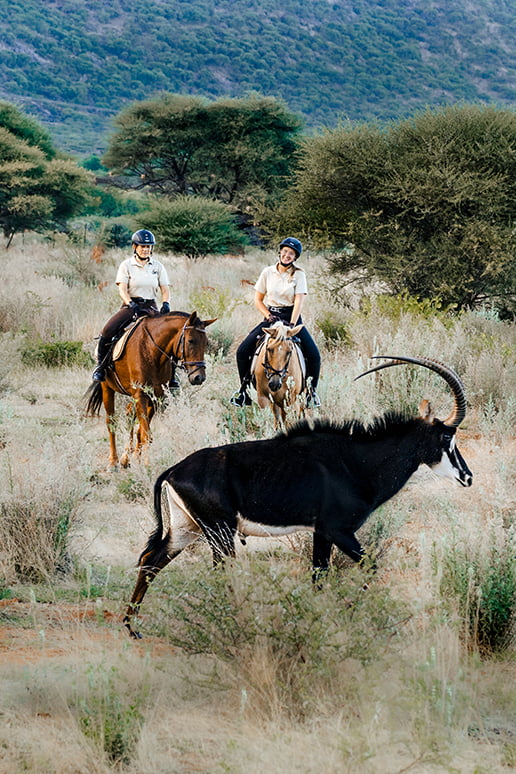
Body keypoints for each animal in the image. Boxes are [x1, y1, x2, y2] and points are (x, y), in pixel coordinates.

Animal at [124, 354, 472, 640]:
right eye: (447, 436)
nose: (467, 476)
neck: (357, 461)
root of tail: (173, 470)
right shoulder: (339, 530)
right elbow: (369, 566)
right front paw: (349, 609)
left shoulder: (321, 532)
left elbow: (319, 575)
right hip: (218, 533)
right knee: (214, 569)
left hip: (186, 530)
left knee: (151, 561)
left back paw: (132, 627)